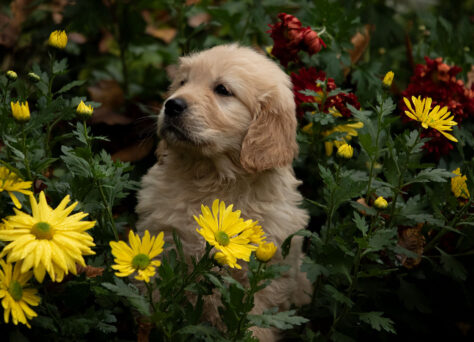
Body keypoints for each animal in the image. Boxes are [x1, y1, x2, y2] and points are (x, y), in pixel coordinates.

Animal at [136, 44, 312, 340]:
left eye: (222, 90)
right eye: (183, 82)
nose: (172, 104)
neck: (214, 179)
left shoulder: (268, 272)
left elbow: (255, 320)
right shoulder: (165, 245)